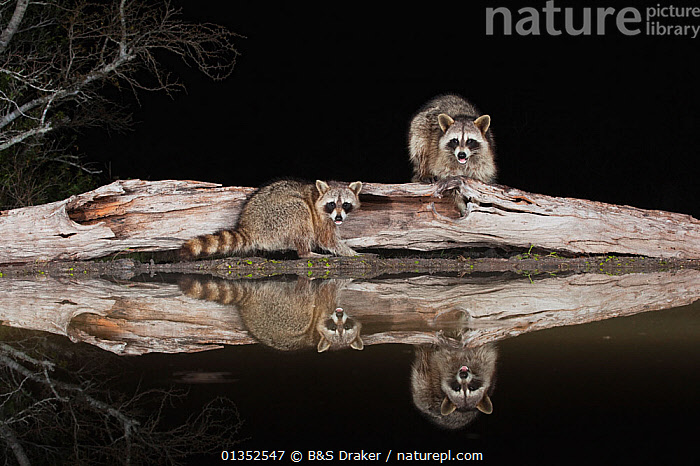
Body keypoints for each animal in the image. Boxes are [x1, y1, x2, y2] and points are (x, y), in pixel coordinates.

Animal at [180, 179, 364, 260]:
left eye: (346, 204)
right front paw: (351, 252)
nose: (339, 218)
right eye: (332, 204)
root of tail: (249, 226)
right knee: (300, 210)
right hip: (276, 217)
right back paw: (305, 252)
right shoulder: (321, 219)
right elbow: (327, 240)